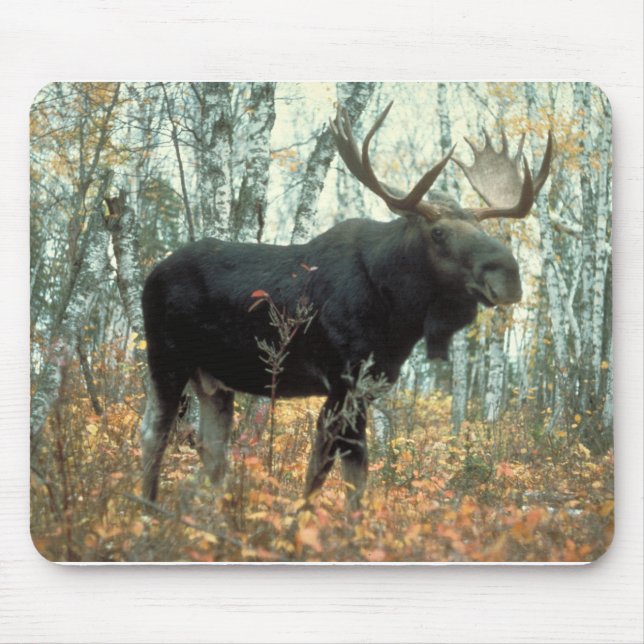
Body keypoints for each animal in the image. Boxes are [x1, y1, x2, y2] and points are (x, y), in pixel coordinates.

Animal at [140, 101, 552, 508]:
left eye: (482, 229)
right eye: (438, 232)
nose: (509, 274)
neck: (399, 314)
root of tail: (151, 274)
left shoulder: (367, 386)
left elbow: (345, 475)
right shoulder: (344, 381)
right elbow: (333, 472)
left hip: (214, 381)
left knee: (211, 452)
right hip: (167, 359)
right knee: (154, 434)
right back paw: (148, 508)